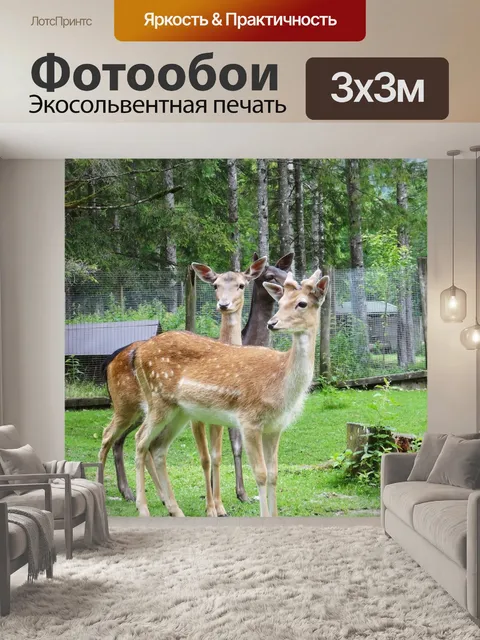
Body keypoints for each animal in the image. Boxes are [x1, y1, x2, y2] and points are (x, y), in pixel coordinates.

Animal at [98, 253, 293, 508]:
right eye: (269, 276)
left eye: (286, 272)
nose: (224, 304)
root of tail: (110, 360)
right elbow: (214, 453)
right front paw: (226, 499)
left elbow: (227, 448)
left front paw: (236, 495)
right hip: (127, 404)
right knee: (113, 436)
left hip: (143, 409)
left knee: (129, 441)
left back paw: (138, 494)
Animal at [133, 269, 329, 518]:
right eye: (281, 301)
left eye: (302, 303)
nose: (272, 323)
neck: (281, 386)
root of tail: (138, 352)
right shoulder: (249, 421)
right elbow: (260, 474)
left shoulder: (275, 427)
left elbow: (274, 474)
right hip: (157, 401)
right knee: (140, 440)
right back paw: (143, 508)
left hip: (180, 412)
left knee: (158, 447)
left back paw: (175, 510)